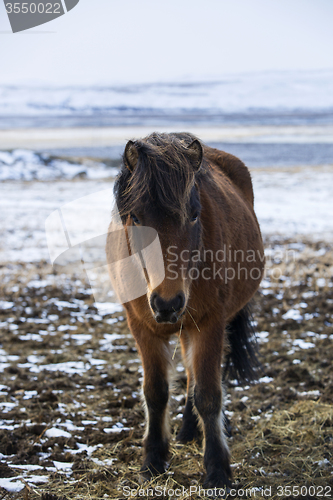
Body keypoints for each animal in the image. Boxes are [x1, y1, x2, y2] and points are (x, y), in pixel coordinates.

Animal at [107, 133, 264, 488]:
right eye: (136, 217)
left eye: (193, 214)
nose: (167, 303)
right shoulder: (141, 327)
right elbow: (155, 392)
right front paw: (153, 460)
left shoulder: (210, 323)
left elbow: (208, 394)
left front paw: (217, 470)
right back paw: (188, 432)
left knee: (199, 379)